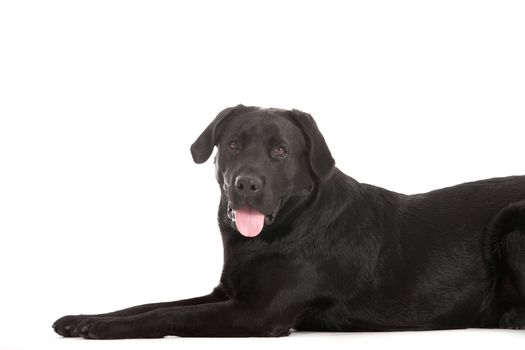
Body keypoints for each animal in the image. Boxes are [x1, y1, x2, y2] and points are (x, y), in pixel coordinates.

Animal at [53, 104, 524, 340]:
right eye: (233, 144)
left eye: (280, 151)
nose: (246, 184)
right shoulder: (226, 293)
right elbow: (150, 304)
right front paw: (81, 317)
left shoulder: (255, 313)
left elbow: (165, 317)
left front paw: (102, 327)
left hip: (512, 220)